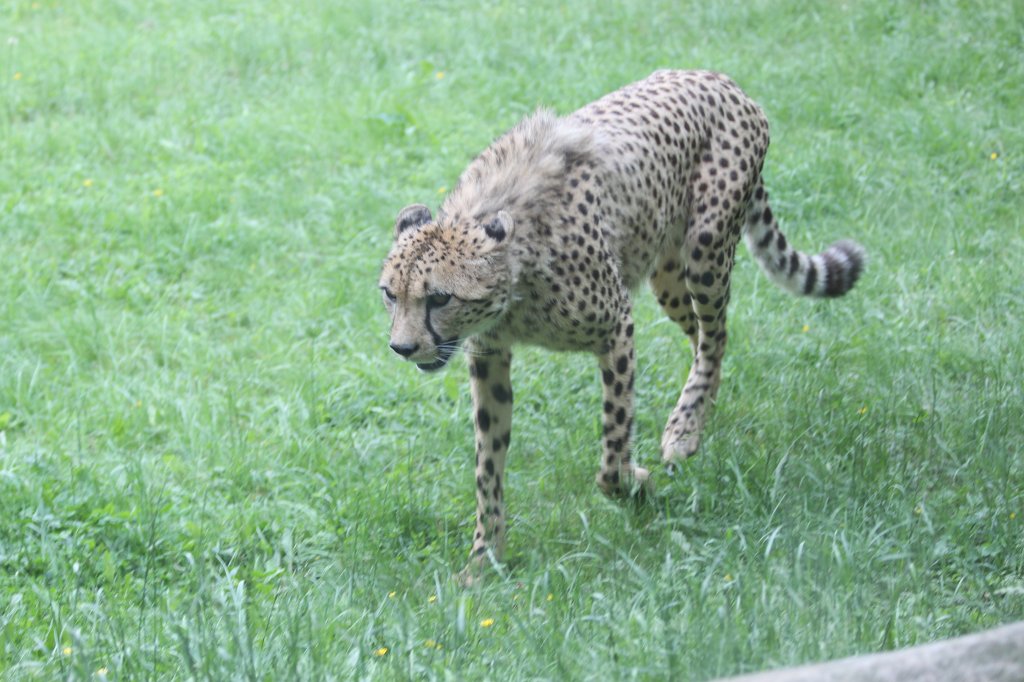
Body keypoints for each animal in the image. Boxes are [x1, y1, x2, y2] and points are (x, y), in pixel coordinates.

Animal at [378, 70, 865, 582]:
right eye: (390, 293)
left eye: (439, 297)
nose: (403, 347)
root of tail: (718, 79)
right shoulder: (489, 355)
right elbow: (488, 463)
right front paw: (483, 560)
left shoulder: (617, 328)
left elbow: (612, 446)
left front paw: (635, 486)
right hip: (666, 273)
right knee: (704, 337)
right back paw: (699, 414)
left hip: (705, 247)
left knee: (715, 336)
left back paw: (684, 428)